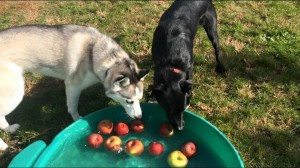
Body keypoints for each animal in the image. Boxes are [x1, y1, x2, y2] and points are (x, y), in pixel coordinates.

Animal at [0, 24, 150, 150]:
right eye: (129, 101)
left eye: (139, 99)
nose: (139, 117)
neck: (93, 53)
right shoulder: (72, 86)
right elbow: (72, 108)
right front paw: (78, 120)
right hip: (15, 92)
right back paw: (3, 145)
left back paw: (10, 129)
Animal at [152, 0, 225, 131]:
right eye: (168, 110)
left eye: (183, 110)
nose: (180, 128)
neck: (171, 62)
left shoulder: (189, 67)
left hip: (212, 28)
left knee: (217, 48)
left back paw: (221, 67)